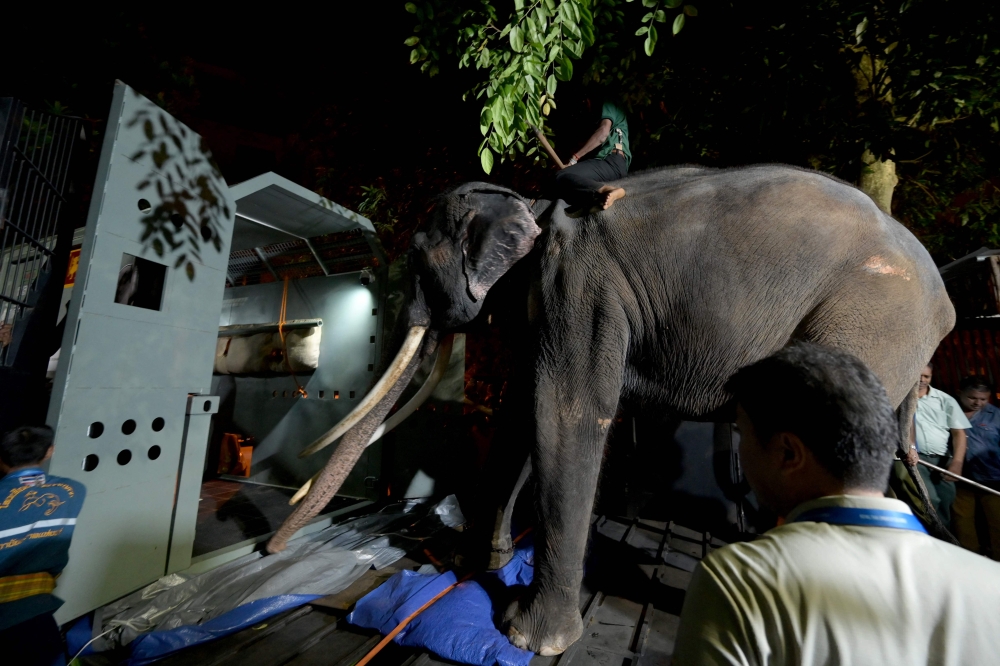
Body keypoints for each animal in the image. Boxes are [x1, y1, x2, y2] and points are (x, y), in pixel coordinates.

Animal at [266, 164, 954, 656]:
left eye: (413, 256)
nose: (269, 550)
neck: (530, 206)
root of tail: (942, 304)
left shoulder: (580, 290)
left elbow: (563, 414)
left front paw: (528, 637)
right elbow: (520, 414)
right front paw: (475, 566)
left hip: (869, 319)